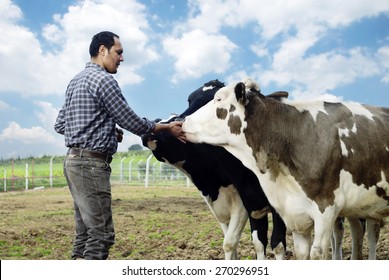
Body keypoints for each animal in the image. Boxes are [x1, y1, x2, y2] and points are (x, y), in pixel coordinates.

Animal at [141, 80, 286, 260]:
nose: (150, 129)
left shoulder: (247, 203)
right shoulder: (249, 202)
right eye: (190, 101)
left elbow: (275, 244)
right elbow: (252, 243)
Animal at [183, 77, 388, 260]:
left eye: (218, 99)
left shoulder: (327, 208)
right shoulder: (294, 215)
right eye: (190, 99)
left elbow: (315, 253)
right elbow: (299, 252)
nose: (184, 121)